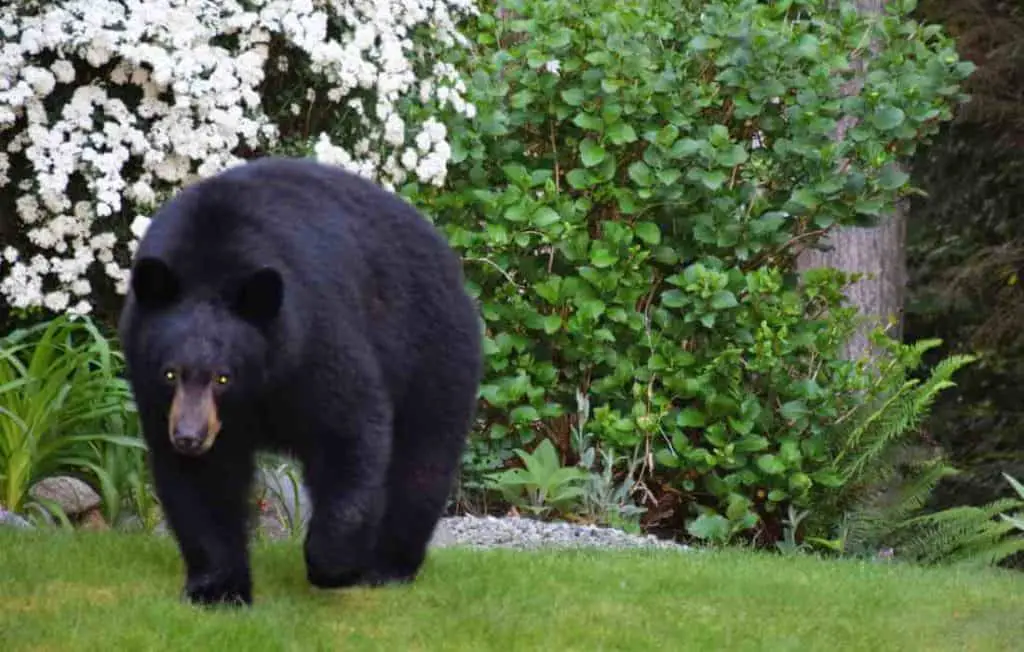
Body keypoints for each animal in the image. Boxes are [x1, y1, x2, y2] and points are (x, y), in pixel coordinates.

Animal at [117, 155, 485, 601]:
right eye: (170, 373)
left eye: (223, 377)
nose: (189, 437)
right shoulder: (157, 394)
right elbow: (201, 483)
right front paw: (218, 587)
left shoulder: (315, 339)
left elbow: (349, 431)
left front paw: (333, 564)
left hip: (433, 347)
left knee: (423, 457)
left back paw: (389, 565)